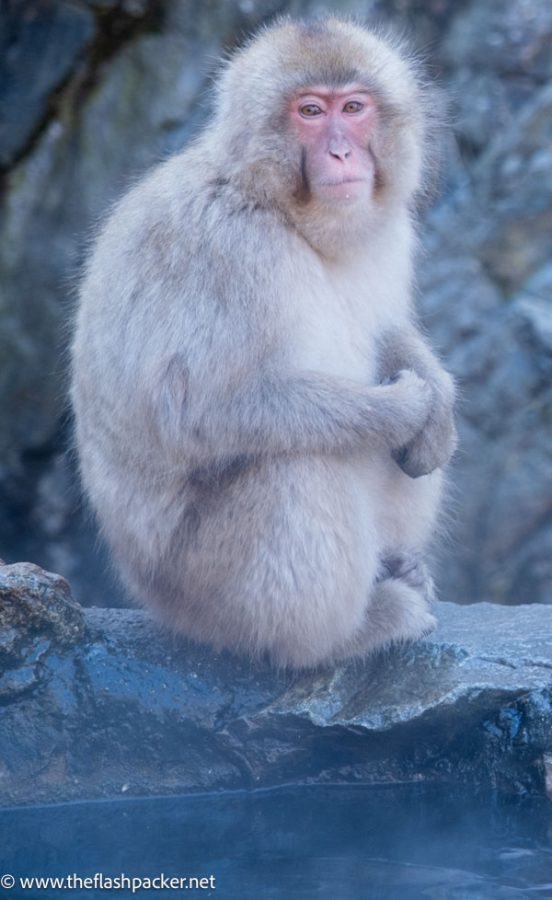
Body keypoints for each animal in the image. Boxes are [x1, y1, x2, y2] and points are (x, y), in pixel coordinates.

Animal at [70, 15, 458, 668]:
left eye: (354, 107)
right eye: (310, 111)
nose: (341, 151)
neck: (280, 210)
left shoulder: (390, 232)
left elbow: (389, 331)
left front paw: (439, 404)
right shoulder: (227, 248)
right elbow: (200, 410)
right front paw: (406, 407)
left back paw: (398, 568)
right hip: (207, 590)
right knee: (299, 461)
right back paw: (346, 633)